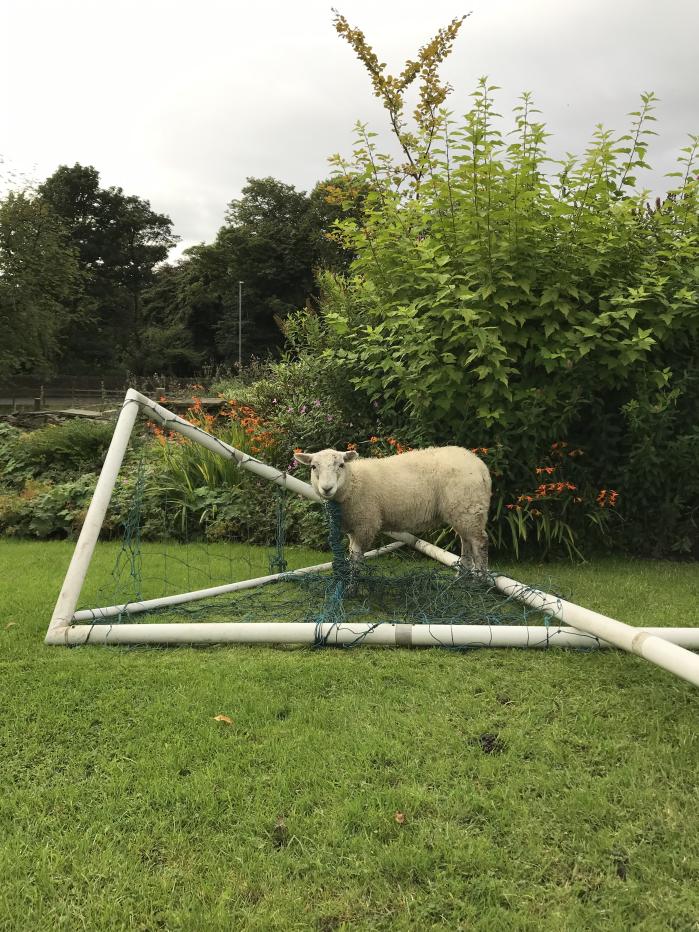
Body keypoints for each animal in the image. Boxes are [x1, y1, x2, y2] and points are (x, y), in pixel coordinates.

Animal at [296, 448, 492, 572]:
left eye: (341, 465)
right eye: (313, 467)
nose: (327, 488)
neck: (354, 483)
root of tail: (480, 466)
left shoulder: (365, 524)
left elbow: (357, 557)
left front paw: (353, 586)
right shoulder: (353, 527)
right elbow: (352, 554)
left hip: (469, 507)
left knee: (479, 542)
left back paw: (480, 580)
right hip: (464, 511)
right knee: (466, 541)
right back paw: (463, 576)